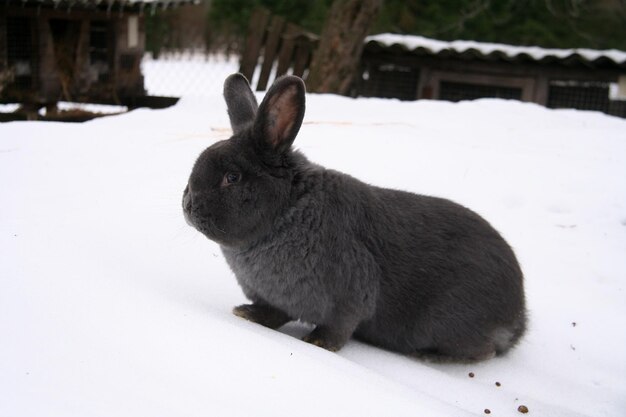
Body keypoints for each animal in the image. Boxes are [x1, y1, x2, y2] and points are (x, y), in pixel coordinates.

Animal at [183, 73, 524, 360]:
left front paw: (317, 342)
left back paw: (431, 356)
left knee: (484, 352)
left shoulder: (352, 295)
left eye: (232, 177)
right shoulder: (275, 299)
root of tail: (519, 317)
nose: (187, 205)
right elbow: (274, 314)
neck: (288, 211)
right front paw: (246, 314)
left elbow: (339, 327)